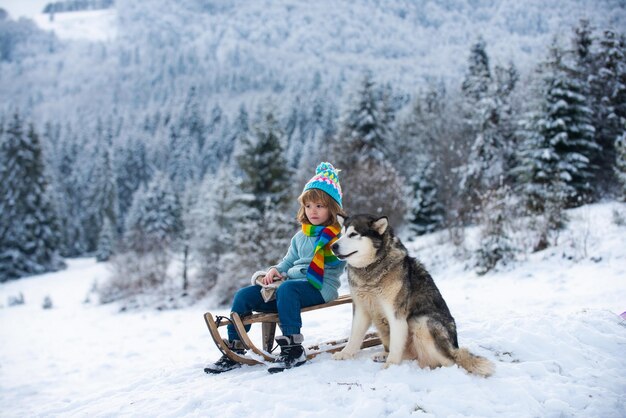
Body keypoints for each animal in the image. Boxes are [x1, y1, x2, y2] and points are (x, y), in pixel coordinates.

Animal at [332, 214, 492, 378]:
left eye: (353, 234)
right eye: (341, 234)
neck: (371, 269)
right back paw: (384, 355)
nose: (333, 246)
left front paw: (390, 366)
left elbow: (396, 345)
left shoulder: (396, 315)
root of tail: (455, 348)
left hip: (421, 322)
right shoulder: (361, 309)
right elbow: (354, 336)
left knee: (451, 362)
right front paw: (345, 353)